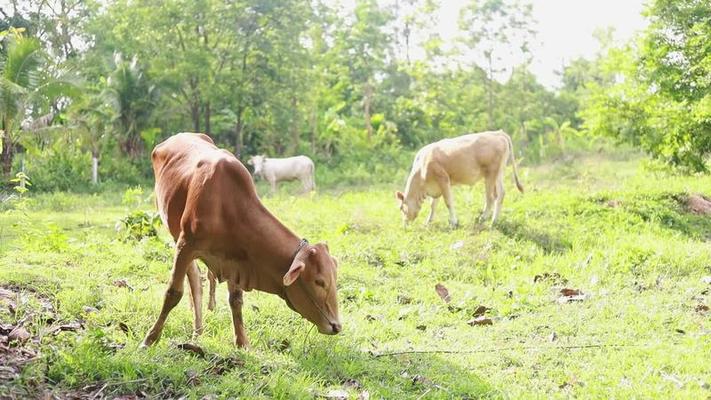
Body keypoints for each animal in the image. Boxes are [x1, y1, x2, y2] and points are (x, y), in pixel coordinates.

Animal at [143, 134, 342, 346]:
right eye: (319, 282)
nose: (336, 326)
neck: (226, 206)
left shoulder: (236, 259)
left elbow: (236, 299)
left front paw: (242, 343)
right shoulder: (186, 245)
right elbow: (173, 293)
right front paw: (149, 339)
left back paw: (198, 331)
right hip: (175, 235)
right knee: (194, 281)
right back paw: (196, 331)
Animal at [394, 130, 524, 227]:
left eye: (401, 208)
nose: (405, 225)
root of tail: (498, 133)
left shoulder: (443, 180)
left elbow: (448, 202)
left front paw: (454, 222)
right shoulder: (435, 187)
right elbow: (433, 205)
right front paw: (428, 222)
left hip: (490, 174)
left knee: (491, 197)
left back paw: (482, 218)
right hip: (499, 173)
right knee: (501, 194)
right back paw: (494, 221)